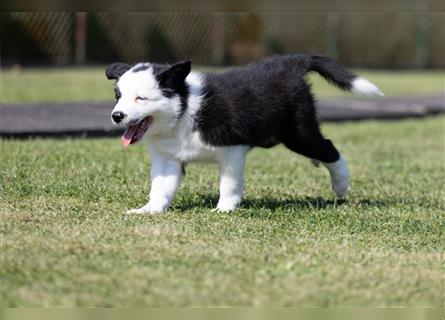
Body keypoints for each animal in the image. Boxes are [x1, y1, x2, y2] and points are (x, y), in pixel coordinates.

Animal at [106, 53, 384, 214]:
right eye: (118, 96)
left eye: (141, 98)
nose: (116, 116)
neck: (182, 111)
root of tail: (289, 65)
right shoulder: (168, 158)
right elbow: (161, 187)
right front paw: (149, 209)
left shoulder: (232, 150)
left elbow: (229, 184)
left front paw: (224, 210)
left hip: (298, 132)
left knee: (328, 147)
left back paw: (341, 184)